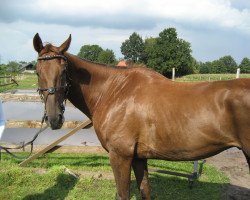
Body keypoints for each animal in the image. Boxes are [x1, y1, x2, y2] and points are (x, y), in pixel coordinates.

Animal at [33, 33, 250, 199]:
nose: (54, 118)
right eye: (37, 71)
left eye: (64, 70)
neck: (115, 90)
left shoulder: (120, 156)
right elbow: (145, 189)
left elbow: (123, 194)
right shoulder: (138, 157)